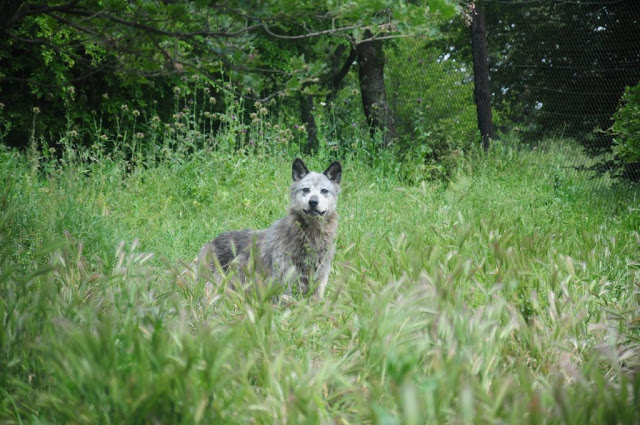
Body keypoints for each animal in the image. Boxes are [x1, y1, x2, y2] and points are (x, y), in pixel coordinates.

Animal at [195, 157, 342, 296]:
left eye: (324, 191)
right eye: (306, 190)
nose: (313, 202)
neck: (310, 238)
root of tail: (210, 243)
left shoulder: (317, 286)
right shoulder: (284, 287)